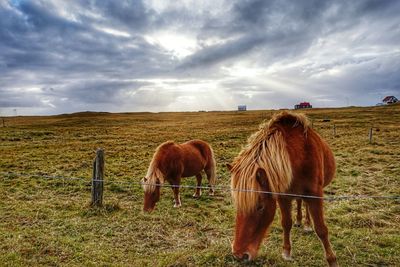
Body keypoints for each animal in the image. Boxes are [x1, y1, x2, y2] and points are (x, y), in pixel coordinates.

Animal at [228, 111, 338, 267]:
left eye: (260, 207)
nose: (239, 255)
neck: (300, 156)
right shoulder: (283, 196)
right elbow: (286, 223)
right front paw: (286, 251)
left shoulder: (315, 194)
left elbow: (321, 229)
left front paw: (331, 259)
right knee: (299, 202)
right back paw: (299, 221)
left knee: (305, 205)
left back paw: (307, 224)